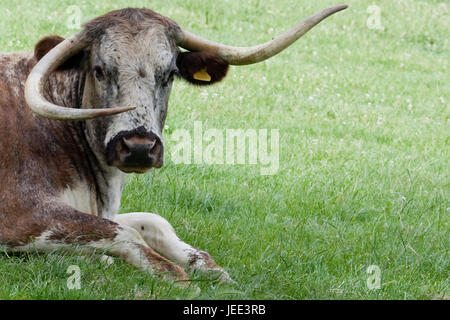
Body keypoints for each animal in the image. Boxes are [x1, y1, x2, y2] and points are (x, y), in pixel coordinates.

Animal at [0, 5, 348, 282]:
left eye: (168, 74)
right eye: (99, 70)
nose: (139, 147)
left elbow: (152, 221)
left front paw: (209, 268)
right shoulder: (23, 214)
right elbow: (123, 233)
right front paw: (176, 276)